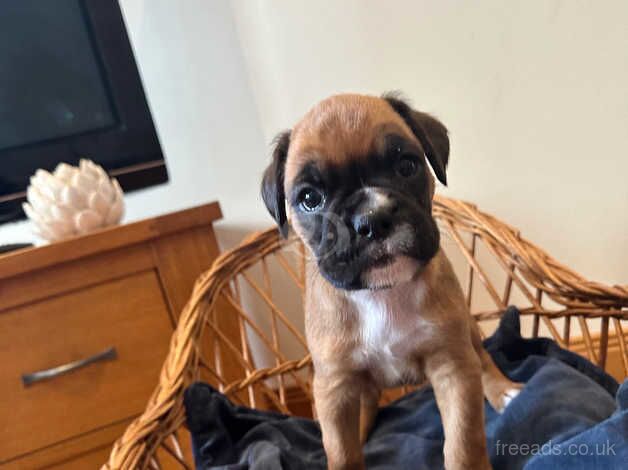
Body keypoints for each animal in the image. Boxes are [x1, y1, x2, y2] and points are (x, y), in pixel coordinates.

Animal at [258, 93, 520, 468]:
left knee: (483, 358)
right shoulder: (335, 388)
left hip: (467, 334)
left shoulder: (453, 365)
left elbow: (463, 443)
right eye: (310, 199)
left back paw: (504, 390)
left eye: (407, 166)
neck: (383, 293)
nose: (372, 218)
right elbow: (342, 451)